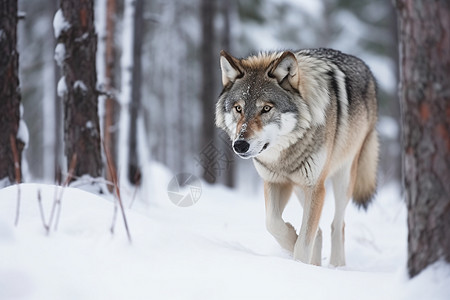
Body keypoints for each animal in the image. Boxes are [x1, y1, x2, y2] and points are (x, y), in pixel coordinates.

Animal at [216, 48, 378, 266]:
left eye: (266, 108)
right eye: (238, 108)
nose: (240, 145)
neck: (285, 154)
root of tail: (366, 66)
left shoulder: (316, 187)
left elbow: (304, 242)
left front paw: (299, 262)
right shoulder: (275, 182)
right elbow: (273, 223)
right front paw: (292, 242)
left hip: (343, 177)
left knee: (337, 226)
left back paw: (337, 266)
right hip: (299, 187)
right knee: (319, 231)